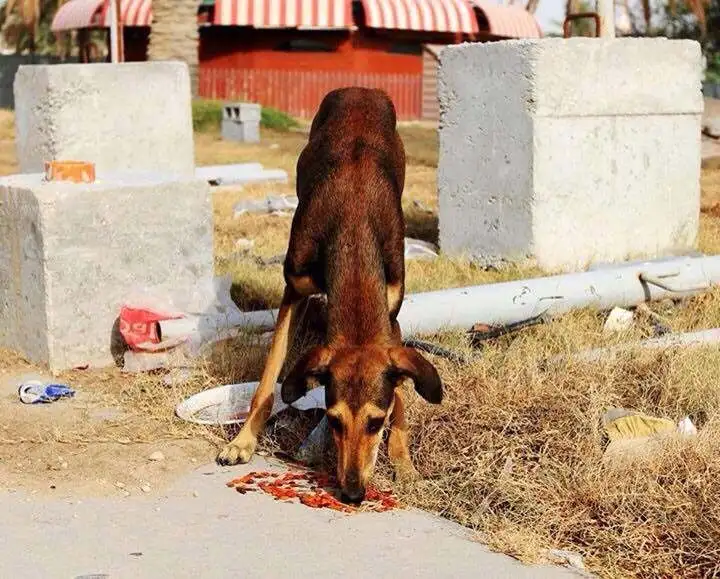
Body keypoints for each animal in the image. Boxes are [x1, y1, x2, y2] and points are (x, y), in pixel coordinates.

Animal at [217, 86, 442, 502]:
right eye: (334, 421)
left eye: (376, 422)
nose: (352, 493)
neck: (353, 229)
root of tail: (360, 89)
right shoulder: (294, 289)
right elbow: (268, 379)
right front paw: (242, 441)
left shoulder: (391, 311)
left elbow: (401, 392)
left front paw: (403, 462)